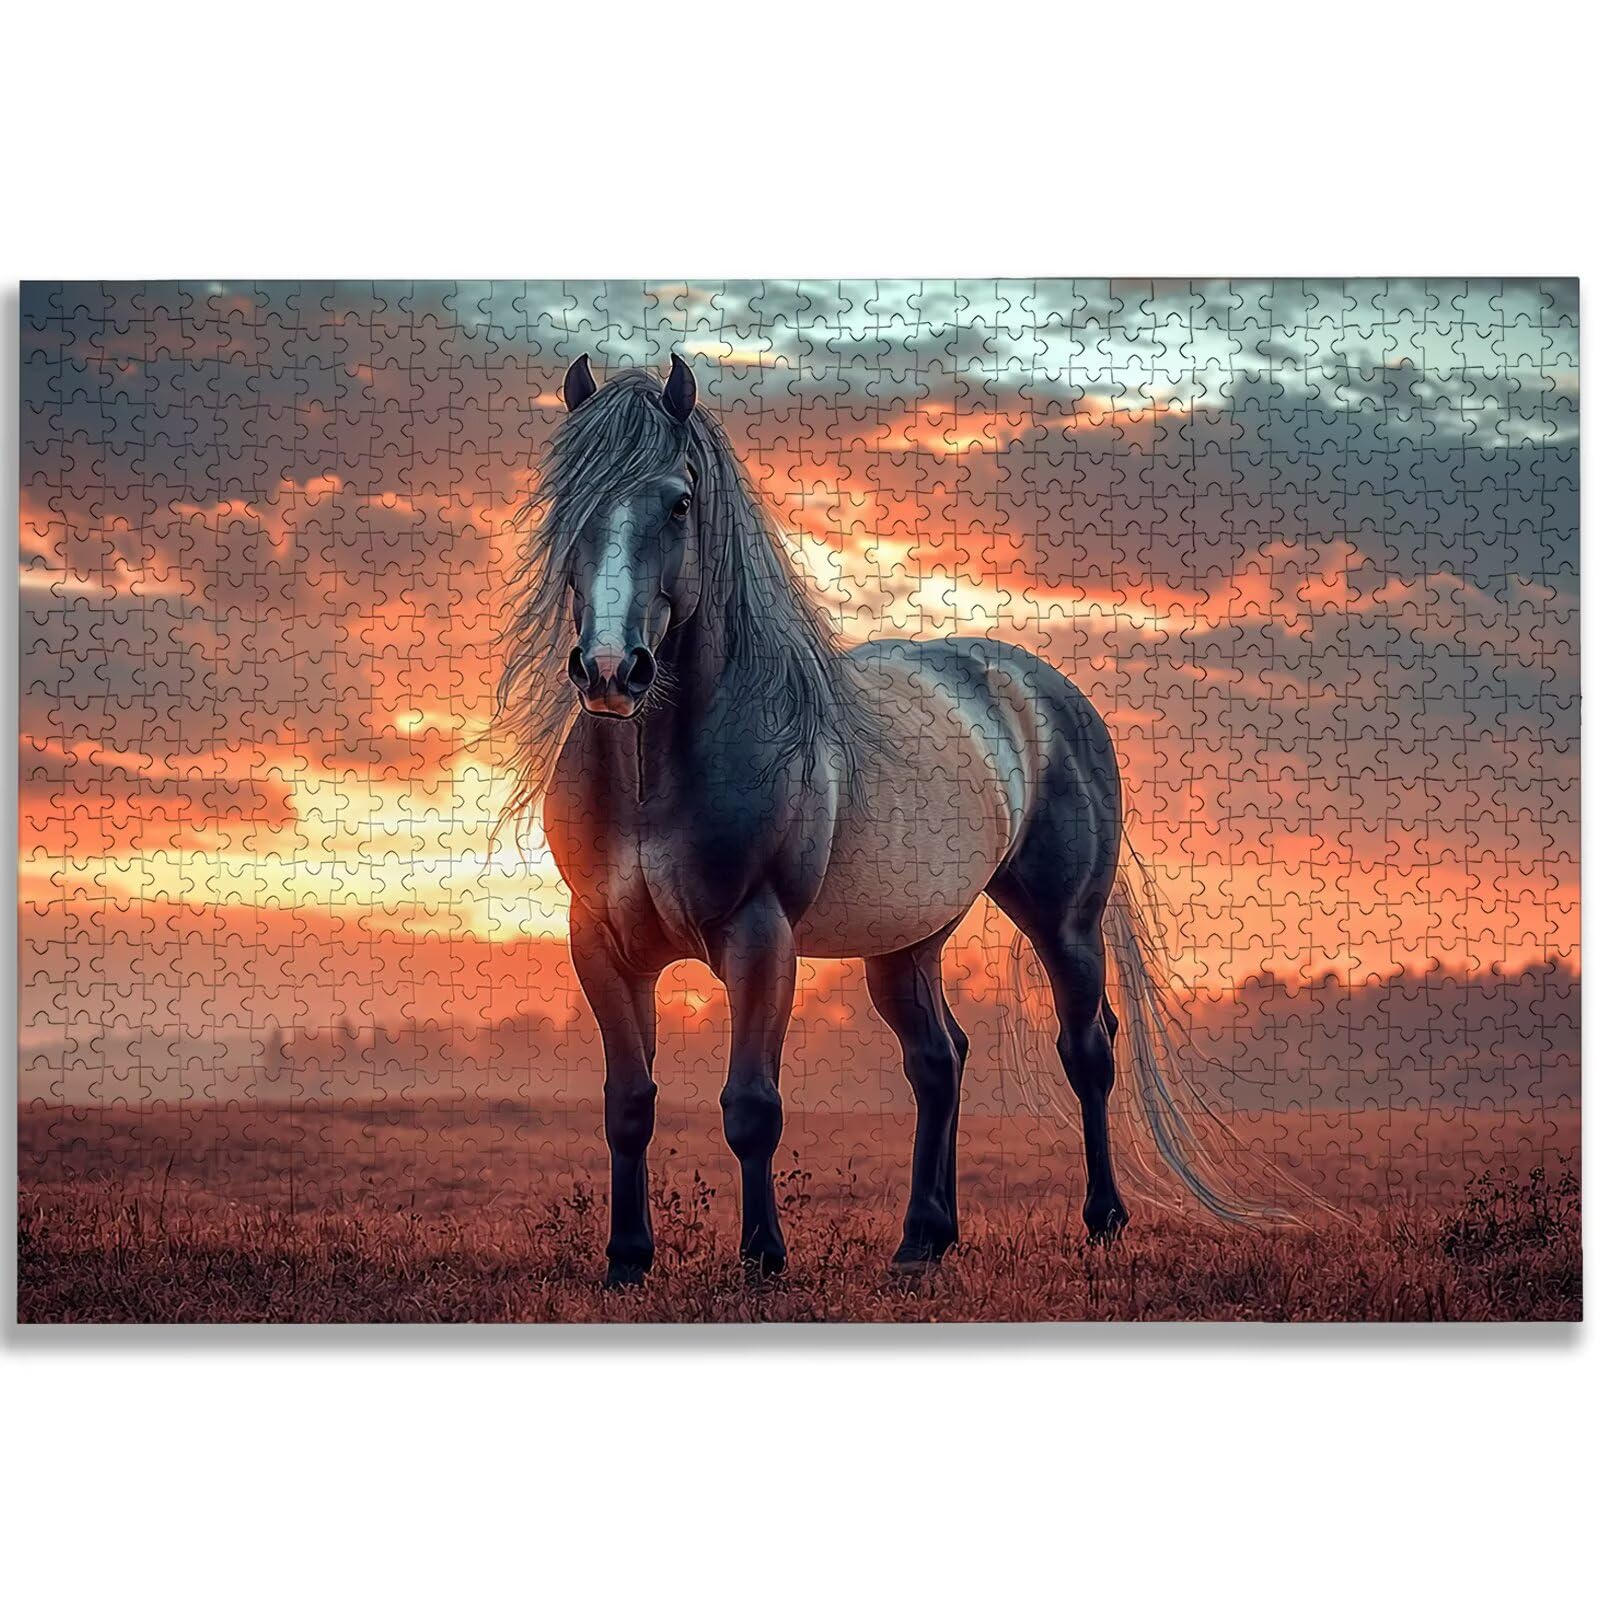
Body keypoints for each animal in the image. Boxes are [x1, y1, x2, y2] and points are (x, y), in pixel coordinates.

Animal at [498, 352, 1260, 1286]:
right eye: (565, 502)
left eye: (678, 503)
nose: (610, 671)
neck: (656, 770)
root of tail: (1043, 689)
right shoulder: (601, 944)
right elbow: (629, 1105)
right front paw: (627, 1261)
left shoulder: (760, 939)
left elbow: (751, 1107)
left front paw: (763, 1257)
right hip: (907, 941)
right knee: (939, 1061)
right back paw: (925, 1238)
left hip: (1065, 924)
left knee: (1087, 1051)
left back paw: (1104, 1218)